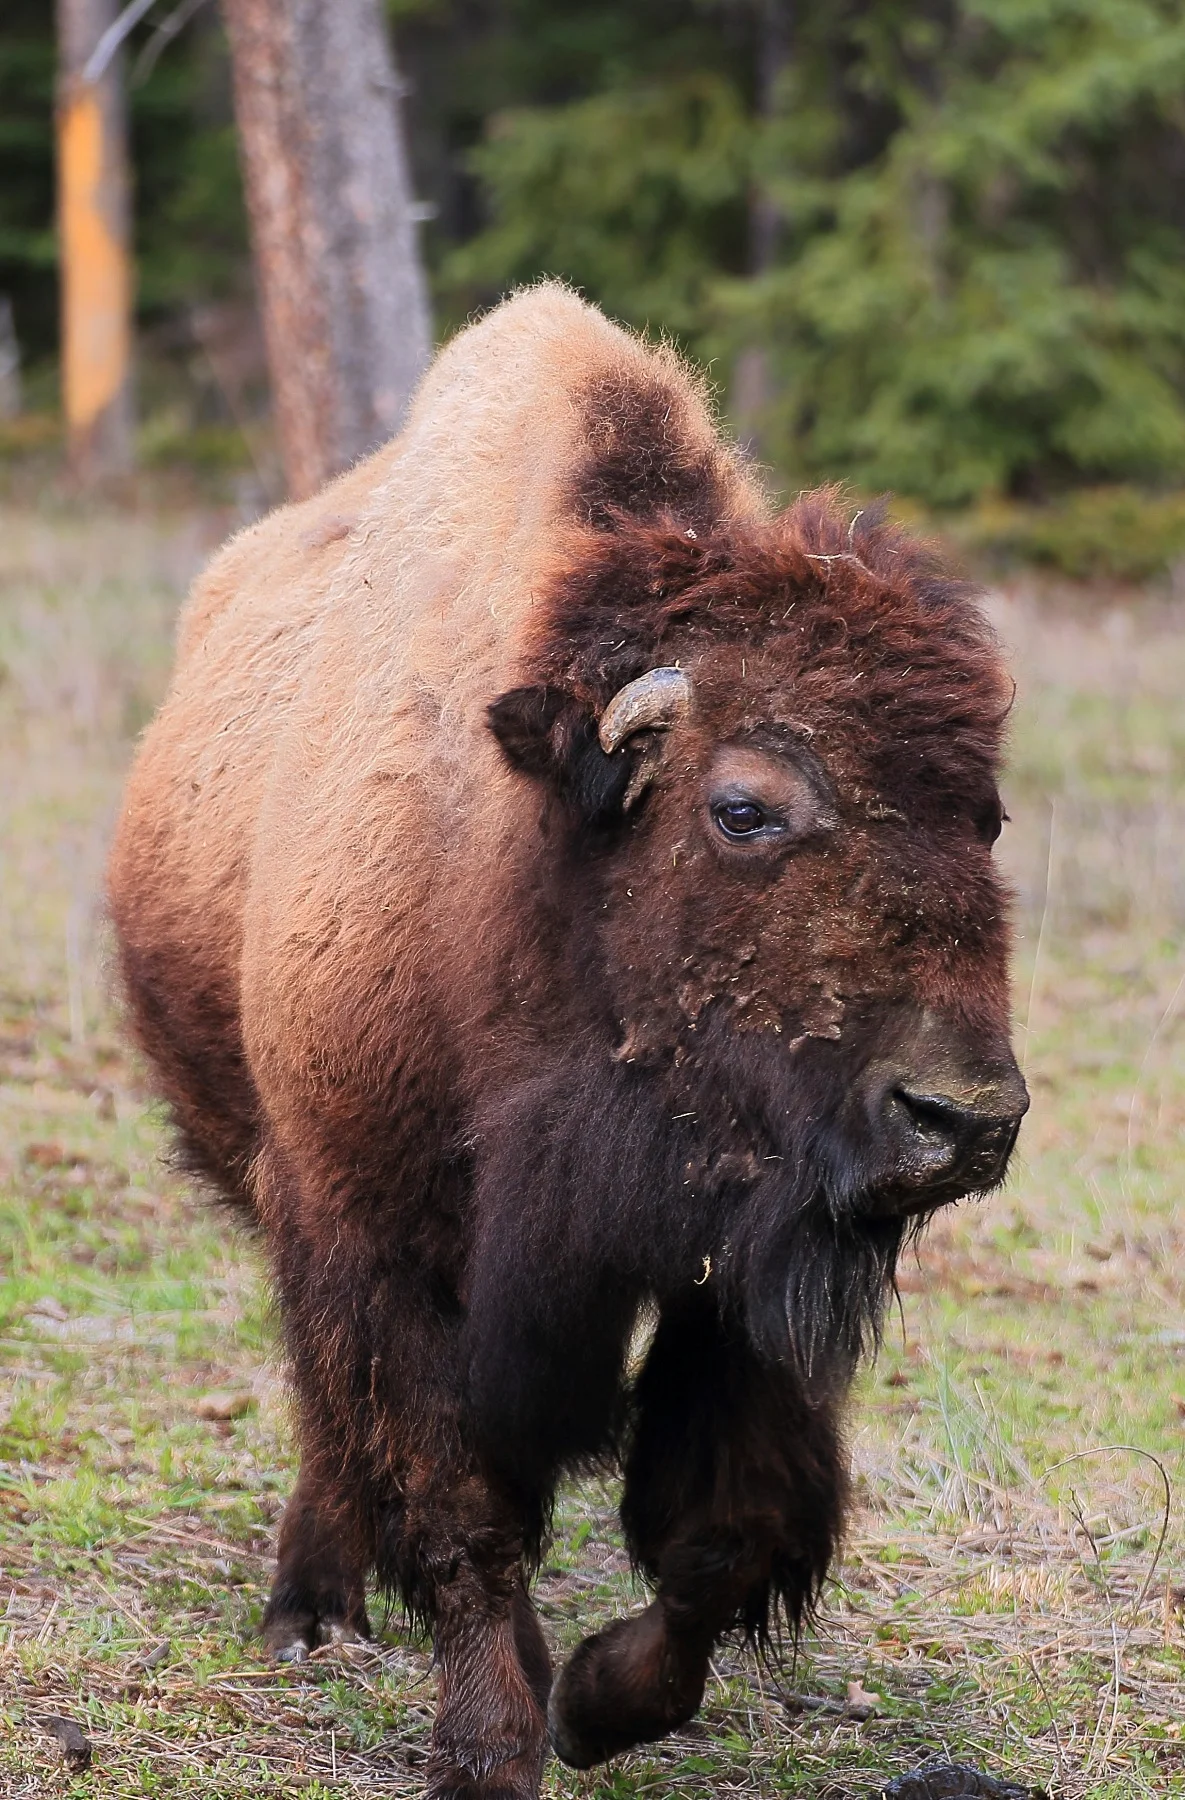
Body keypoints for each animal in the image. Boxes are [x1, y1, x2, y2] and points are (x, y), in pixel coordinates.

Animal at [108, 284, 1029, 1799]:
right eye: (743, 807)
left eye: (987, 817)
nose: (964, 1120)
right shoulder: (381, 1232)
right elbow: (461, 1507)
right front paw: (490, 1746)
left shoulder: (736, 1266)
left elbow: (720, 1531)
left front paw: (598, 1704)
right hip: (278, 1180)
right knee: (326, 1411)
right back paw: (311, 1611)